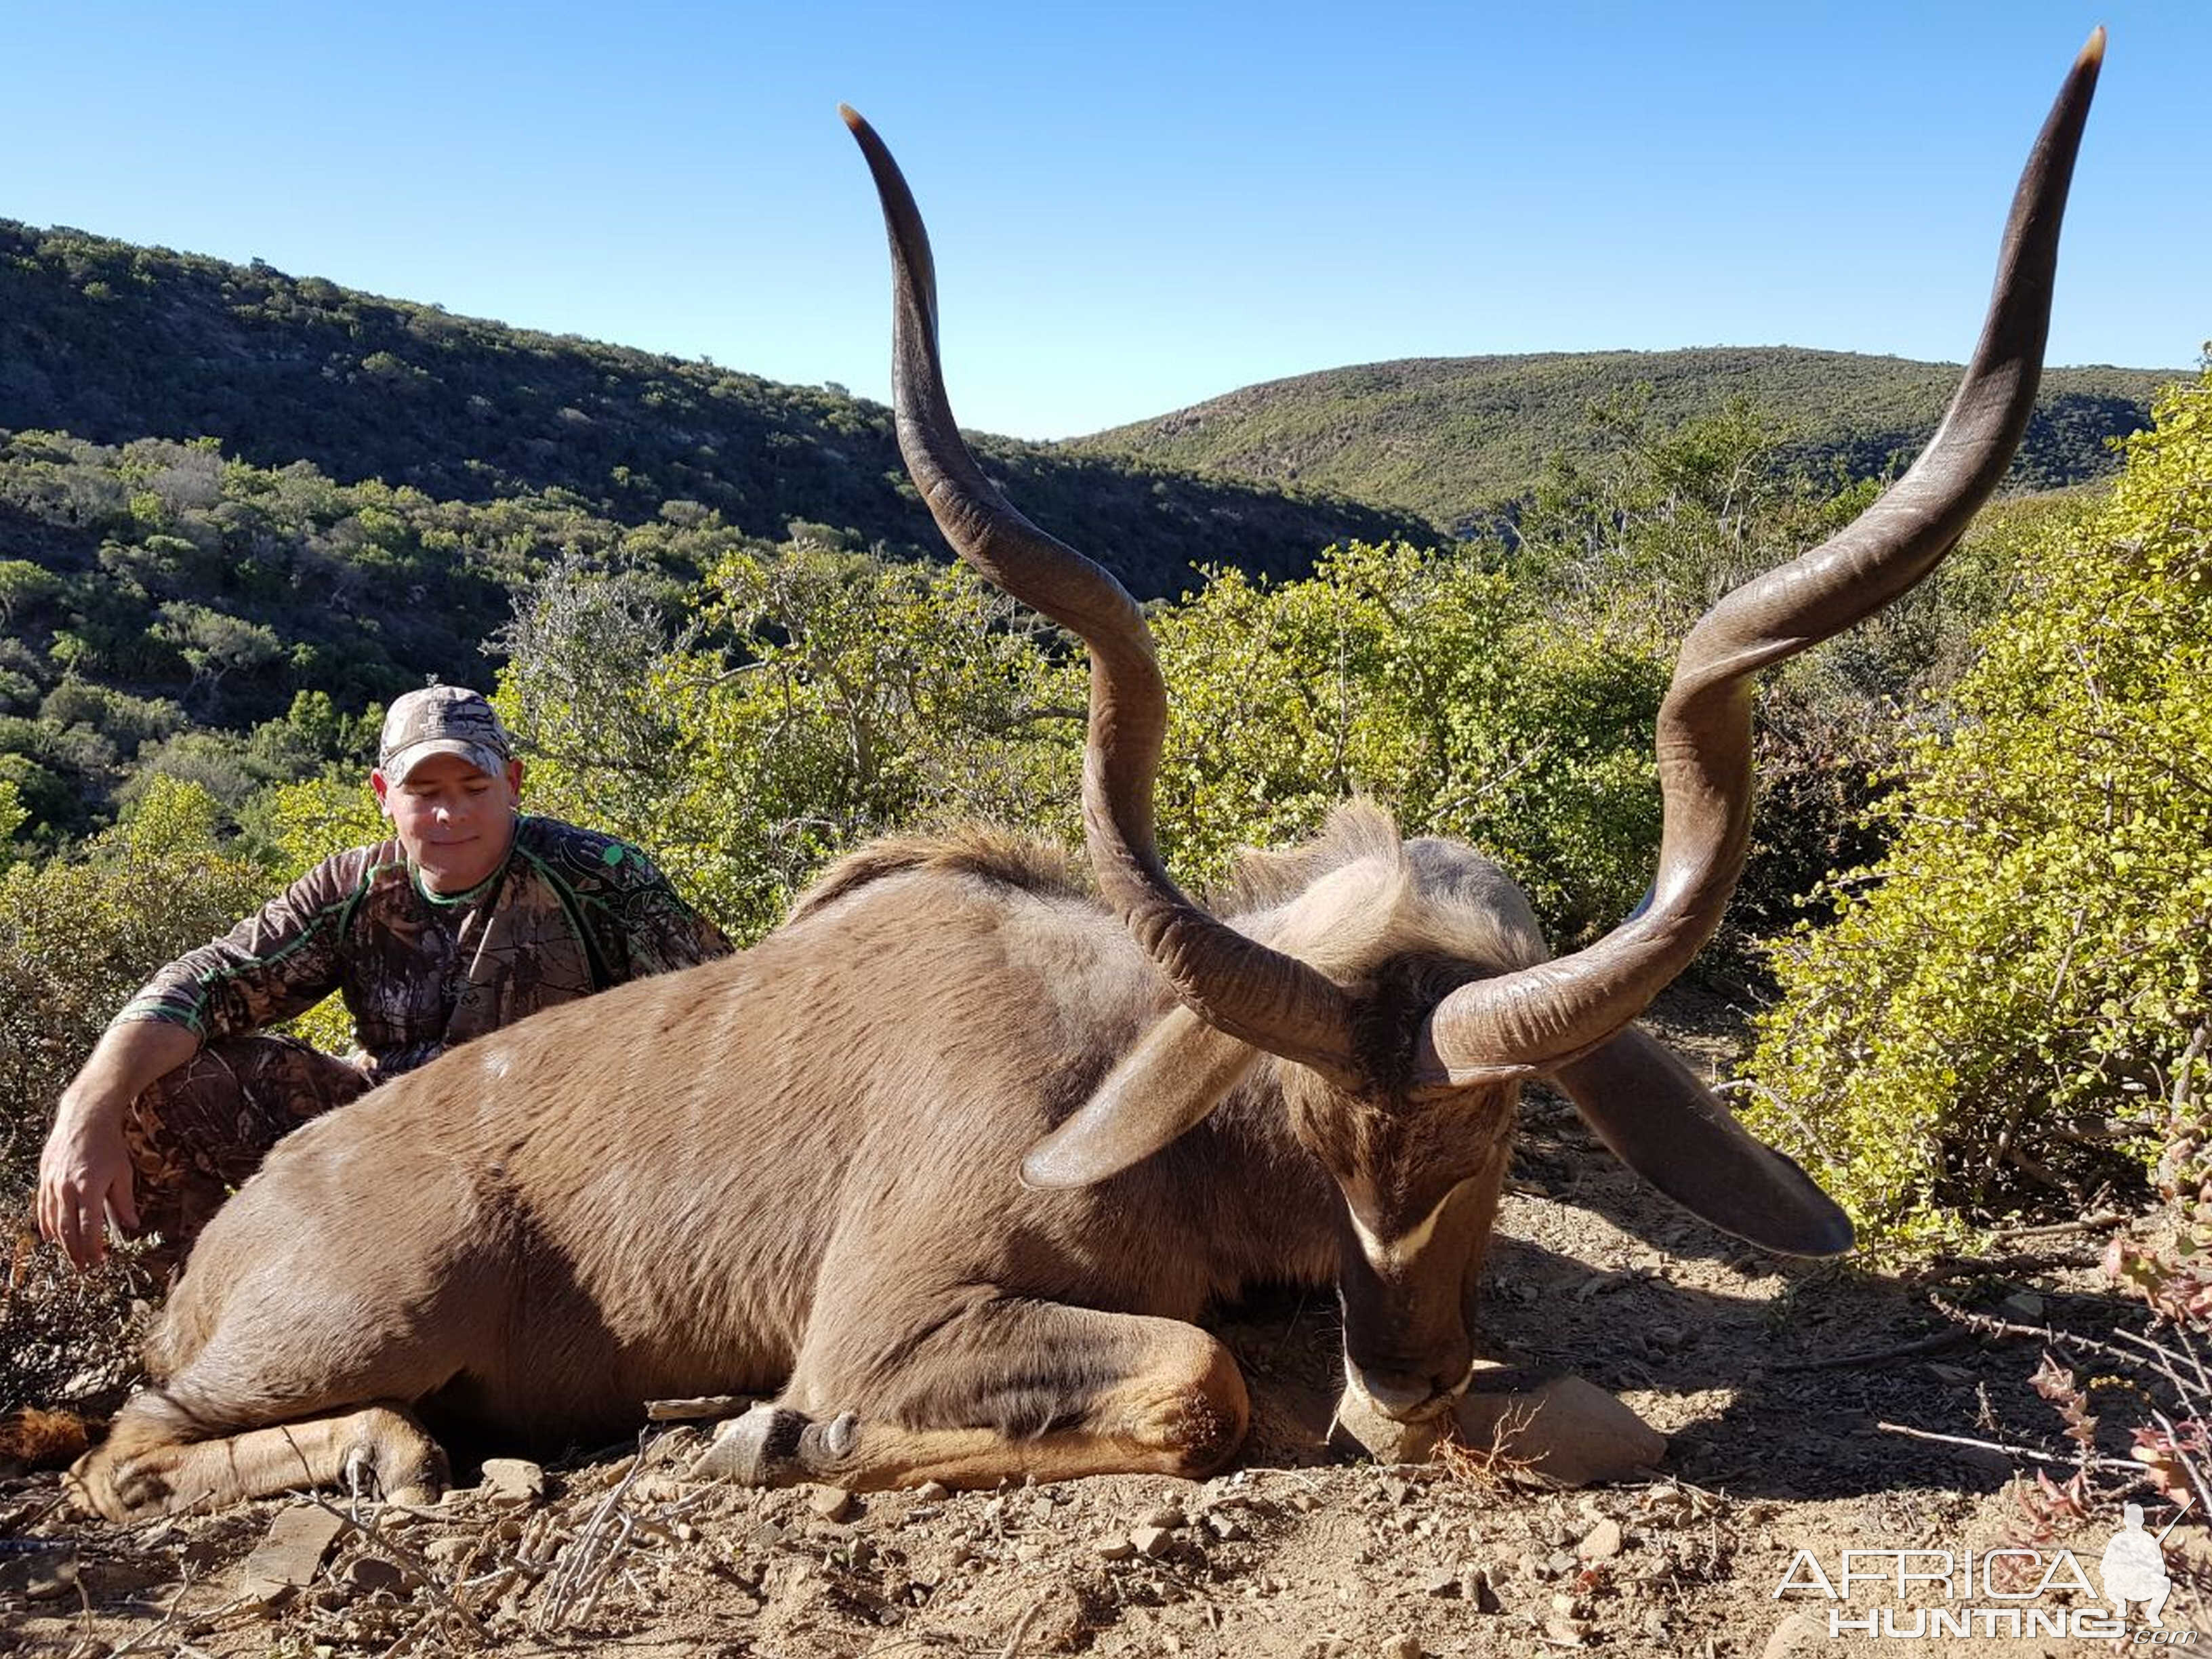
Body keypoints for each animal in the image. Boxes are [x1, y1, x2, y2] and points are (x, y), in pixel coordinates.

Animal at [69, 35, 2097, 1521]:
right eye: (1323, 1127)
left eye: (1505, 1128)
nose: (1401, 1383)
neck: (1133, 1065)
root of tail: (241, 1229)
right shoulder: (892, 1320)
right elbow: (1189, 1385)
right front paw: (754, 1429)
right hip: (364, 1319)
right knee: (131, 1449)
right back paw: (399, 1450)